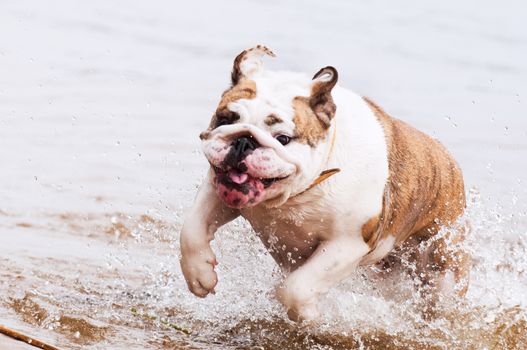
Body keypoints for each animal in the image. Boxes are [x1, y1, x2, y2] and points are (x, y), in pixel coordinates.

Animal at [179, 45, 468, 322]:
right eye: (225, 119)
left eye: (283, 138)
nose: (243, 140)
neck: (298, 194)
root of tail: (450, 162)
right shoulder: (217, 192)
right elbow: (191, 229)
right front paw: (200, 275)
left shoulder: (346, 244)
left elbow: (297, 287)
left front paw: (308, 314)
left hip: (442, 267)